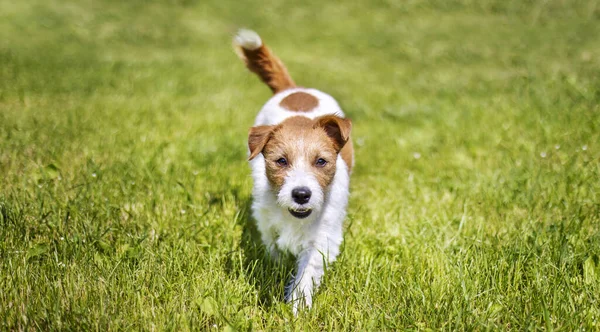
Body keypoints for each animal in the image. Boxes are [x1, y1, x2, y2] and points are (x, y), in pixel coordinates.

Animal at [233, 29, 354, 314]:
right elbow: (271, 246)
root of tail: (294, 89)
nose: (301, 194)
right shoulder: (265, 219)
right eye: (281, 161)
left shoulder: (322, 239)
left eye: (321, 161)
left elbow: (307, 271)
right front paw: (274, 267)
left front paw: (298, 305)